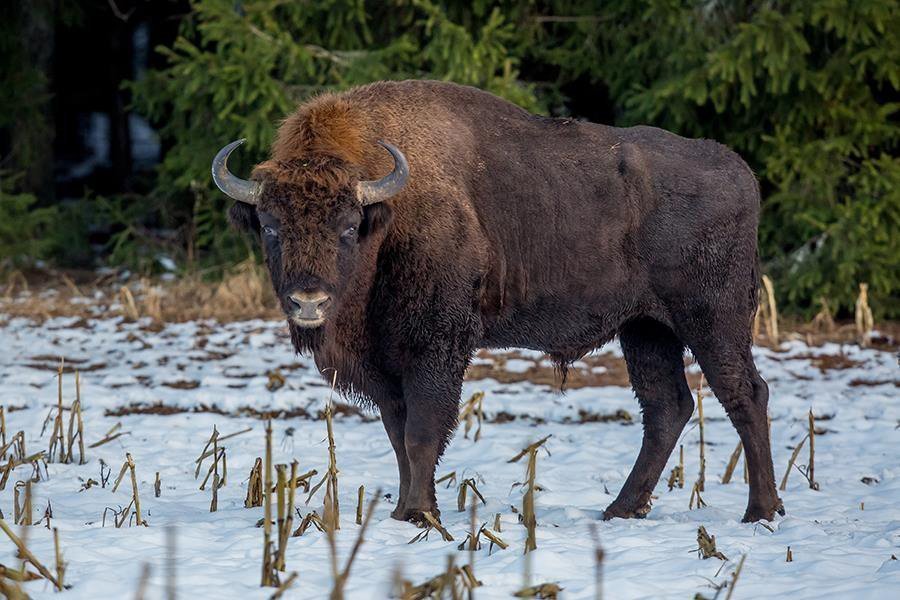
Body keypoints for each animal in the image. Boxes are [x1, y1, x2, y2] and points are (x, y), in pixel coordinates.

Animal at [211, 78, 780, 520]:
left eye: (349, 226)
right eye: (270, 226)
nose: (309, 301)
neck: (389, 214)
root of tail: (741, 172)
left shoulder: (437, 346)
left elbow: (422, 431)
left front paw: (418, 514)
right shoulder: (384, 364)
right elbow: (398, 434)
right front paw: (406, 510)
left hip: (712, 321)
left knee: (744, 394)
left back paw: (760, 511)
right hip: (645, 329)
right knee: (667, 407)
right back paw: (621, 509)